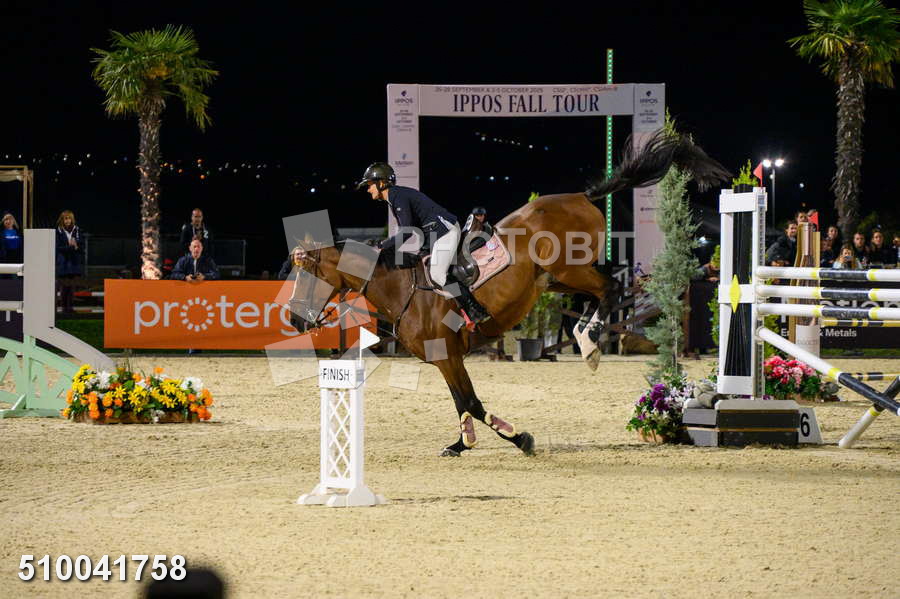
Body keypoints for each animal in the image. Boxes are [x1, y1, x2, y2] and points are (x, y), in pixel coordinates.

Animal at [290, 130, 729, 457]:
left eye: (308, 278)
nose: (295, 318)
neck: (400, 287)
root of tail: (582, 196)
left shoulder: (447, 353)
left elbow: (471, 402)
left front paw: (517, 438)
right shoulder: (446, 357)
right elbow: (463, 401)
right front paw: (461, 442)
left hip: (568, 268)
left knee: (611, 287)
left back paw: (589, 344)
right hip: (553, 279)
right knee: (598, 294)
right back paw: (586, 339)